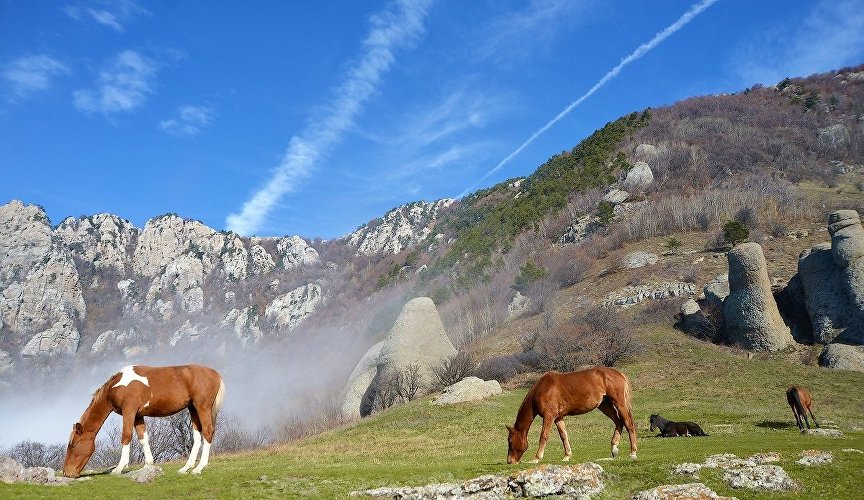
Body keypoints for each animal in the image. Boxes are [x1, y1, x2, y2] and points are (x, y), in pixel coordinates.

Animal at [64, 366, 226, 478]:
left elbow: (126, 436)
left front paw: (119, 468)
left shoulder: (129, 411)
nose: (66, 473)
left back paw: (199, 468)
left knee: (208, 432)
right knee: (198, 436)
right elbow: (143, 438)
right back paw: (186, 468)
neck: (117, 385)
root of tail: (216, 374)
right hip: (192, 408)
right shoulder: (138, 416)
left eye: (73, 444)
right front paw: (148, 464)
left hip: (202, 407)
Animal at [502, 366, 636, 462]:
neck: (541, 389)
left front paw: (537, 458)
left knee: (629, 424)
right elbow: (564, 436)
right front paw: (567, 455)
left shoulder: (549, 416)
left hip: (619, 403)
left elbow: (544, 436)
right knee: (619, 422)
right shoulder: (558, 418)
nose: (510, 461)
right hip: (604, 406)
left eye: (510, 441)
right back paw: (614, 448)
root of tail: (620, 374)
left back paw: (633, 453)